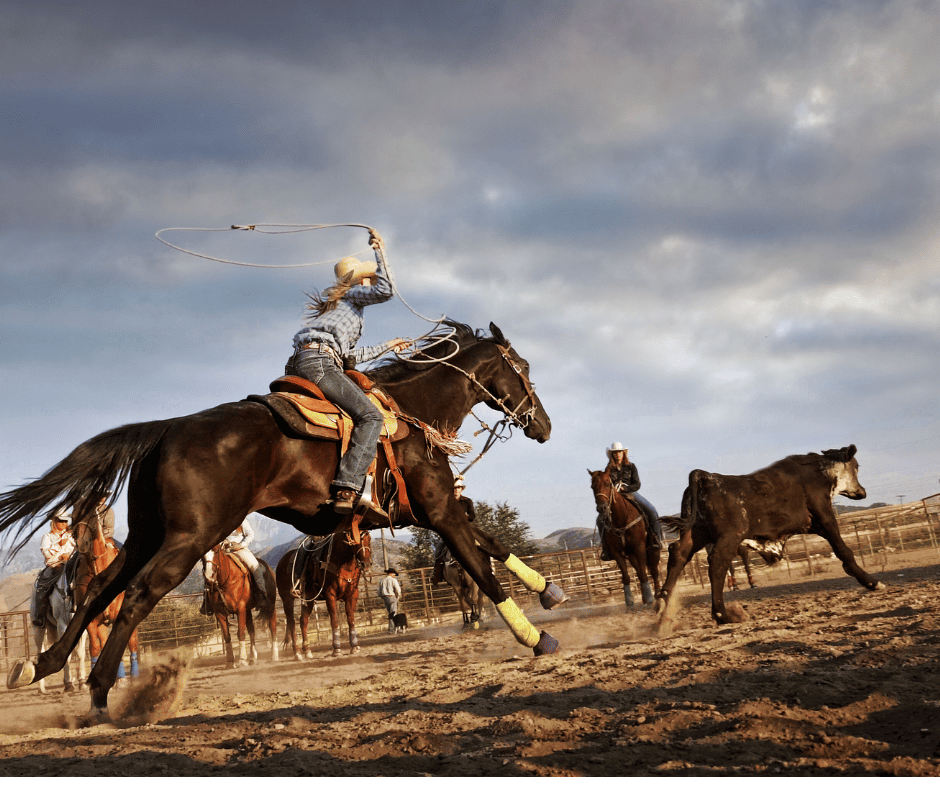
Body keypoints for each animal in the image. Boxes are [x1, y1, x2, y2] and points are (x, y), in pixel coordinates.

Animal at [274, 528, 372, 660]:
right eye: (355, 539)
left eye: (369, 539)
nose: (366, 564)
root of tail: (281, 562)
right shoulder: (330, 594)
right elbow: (334, 620)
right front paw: (337, 649)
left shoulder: (352, 594)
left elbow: (351, 619)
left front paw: (355, 647)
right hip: (287, 599)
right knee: (291, 622)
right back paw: (297, 652)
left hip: (308, 599)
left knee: (303, 621)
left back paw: (307, 650)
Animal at [588, 468, 660, 608]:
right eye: (592, 487)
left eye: (608, 484)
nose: (602, 508)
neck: (621, 519)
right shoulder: (617, 553)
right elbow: (627, 577)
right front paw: (629, 602)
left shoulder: (640, 548)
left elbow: (644, 575)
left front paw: (650, 599)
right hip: (631, 556)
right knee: (639, 572)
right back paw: (644, 599)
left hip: (653, 551)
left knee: (654, 572)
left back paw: (658, 596)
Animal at [652, 444, 880, 620]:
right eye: (856, 466)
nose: (862, 492)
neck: (819, 471)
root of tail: (705, 476)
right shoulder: (825, 517)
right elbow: (844, 550)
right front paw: (871, 582)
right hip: (729, 536)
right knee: (717, 563)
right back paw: (722, 614)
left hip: (698, 533)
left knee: (679, 553)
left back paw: (662, 604)